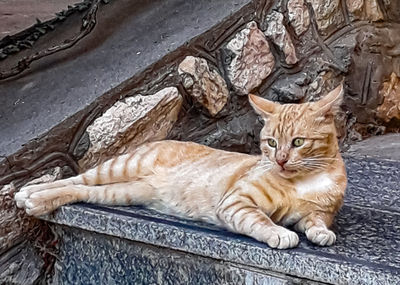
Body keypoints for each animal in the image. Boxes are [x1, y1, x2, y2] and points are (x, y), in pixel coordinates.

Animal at [14, 83, 346, 247]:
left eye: (298, 142)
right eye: (272, 143)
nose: (279, 160)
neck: (306, 179)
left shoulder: (318, 213)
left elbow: (316, 221)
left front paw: (320, 234)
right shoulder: (238, 202)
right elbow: (261, 221)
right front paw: (279, 233)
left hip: (121, 192)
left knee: (82, 191)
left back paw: (37, 199)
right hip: (121, 167)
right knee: (77, 179)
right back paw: (29, 195)